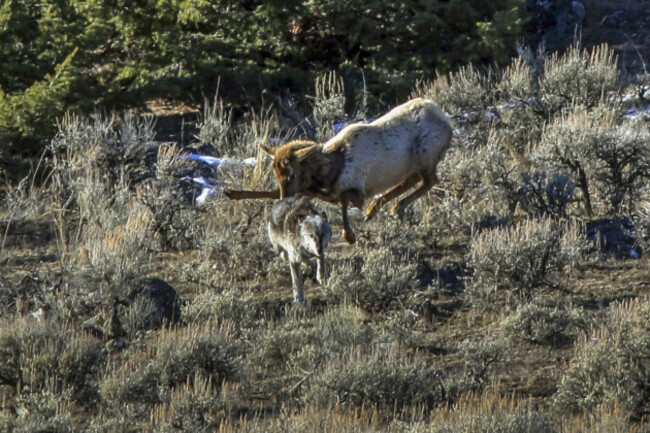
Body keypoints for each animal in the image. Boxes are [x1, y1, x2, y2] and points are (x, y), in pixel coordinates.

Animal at [225, 98, 453, 244]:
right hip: (413, 165)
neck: (329, 171)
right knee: (413, 180)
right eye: (275, 173)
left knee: (430, 180)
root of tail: (448, 124)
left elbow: (343, 202)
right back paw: (385, 208)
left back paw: (391, 208)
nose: (284, 199)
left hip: (426, 156)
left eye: (291, 173)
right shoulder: (318, 189)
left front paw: (349, 236)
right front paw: (231, 192)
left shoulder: (356, 190)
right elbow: (278, 192)